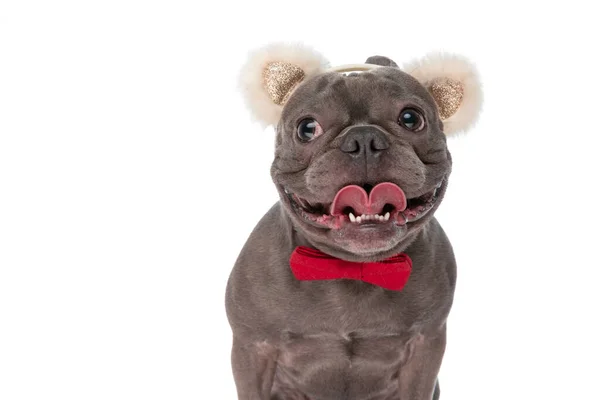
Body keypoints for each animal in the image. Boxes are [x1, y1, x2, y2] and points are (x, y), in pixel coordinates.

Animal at [225, 43, 482, 400]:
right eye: (307, 128)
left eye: (411, 118)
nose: (363, 139)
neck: (351, 266)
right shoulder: (253, 349)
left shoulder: (425, 348)